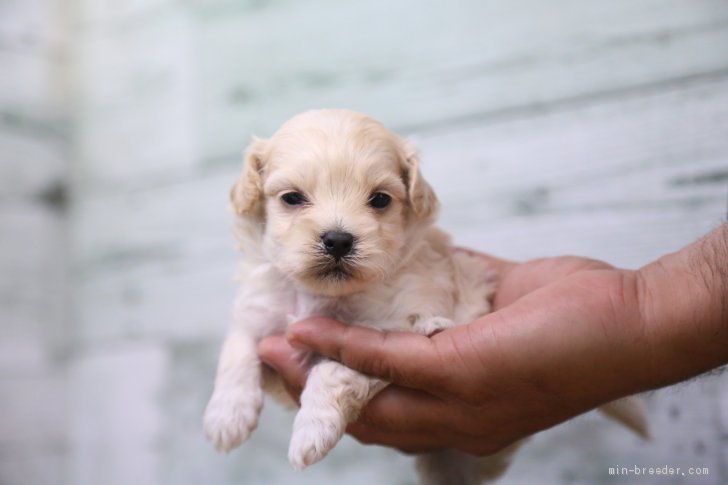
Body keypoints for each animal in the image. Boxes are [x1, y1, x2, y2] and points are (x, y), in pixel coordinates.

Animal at [202, 109, 644, 484]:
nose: (338, 240)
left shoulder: (391, 328)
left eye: (380, 199)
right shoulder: (258, 311)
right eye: (292, 198)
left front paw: (312, 432)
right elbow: (237, 349)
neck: (320, 293)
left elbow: (333, 370)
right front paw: (227, 417)